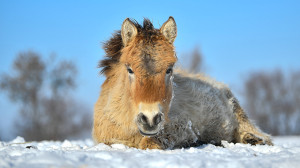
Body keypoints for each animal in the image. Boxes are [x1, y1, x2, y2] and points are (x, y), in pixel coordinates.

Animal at [92, 16, 274, 149]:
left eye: (169, 69)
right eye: (129, 69)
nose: (150, 119)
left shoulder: (182, 127)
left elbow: (149, 143)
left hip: (240, 115)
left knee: (263, 136)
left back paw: (253, 139)